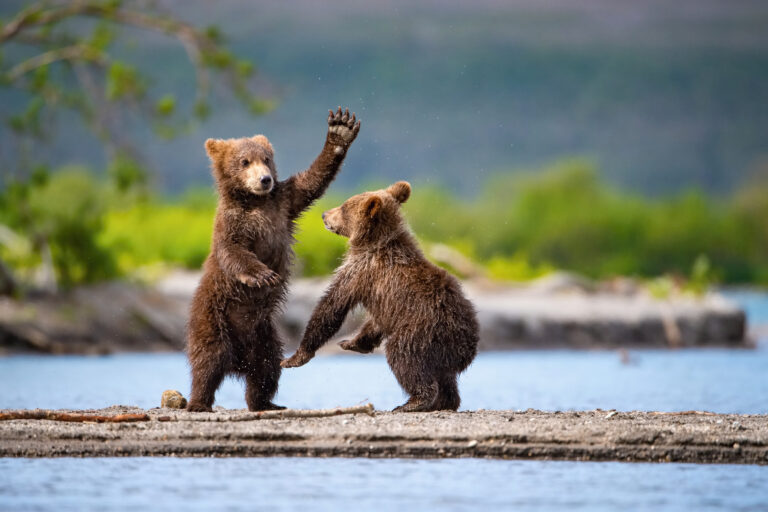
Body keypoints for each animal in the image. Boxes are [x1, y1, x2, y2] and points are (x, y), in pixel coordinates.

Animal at [186, 107, 361, 412]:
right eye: (244, 162)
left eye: (266, 159)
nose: (264, 179)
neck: (254, 201)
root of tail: (237, 363)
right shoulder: (231, 223)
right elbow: (233, 251)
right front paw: (262, 274)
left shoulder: (283, 203)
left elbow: (310, 182)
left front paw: (340, 130)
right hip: (214, 318)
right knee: (207, 361)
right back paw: (199, 402)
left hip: (264, 335)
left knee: (266, 368)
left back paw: (266, 402)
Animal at [281, 181, 479, 412]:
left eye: (344, 207)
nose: (324, 214)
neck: (372, 243)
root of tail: (468, 347)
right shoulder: (379, 295)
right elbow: (373, 323)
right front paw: (350, 342)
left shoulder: (360, 271)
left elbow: (332, 306)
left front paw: (295, 357)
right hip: (443, 352)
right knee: (446, 378)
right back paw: (444, 402)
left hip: (424, 332)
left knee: (403, 357)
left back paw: (413, 402)